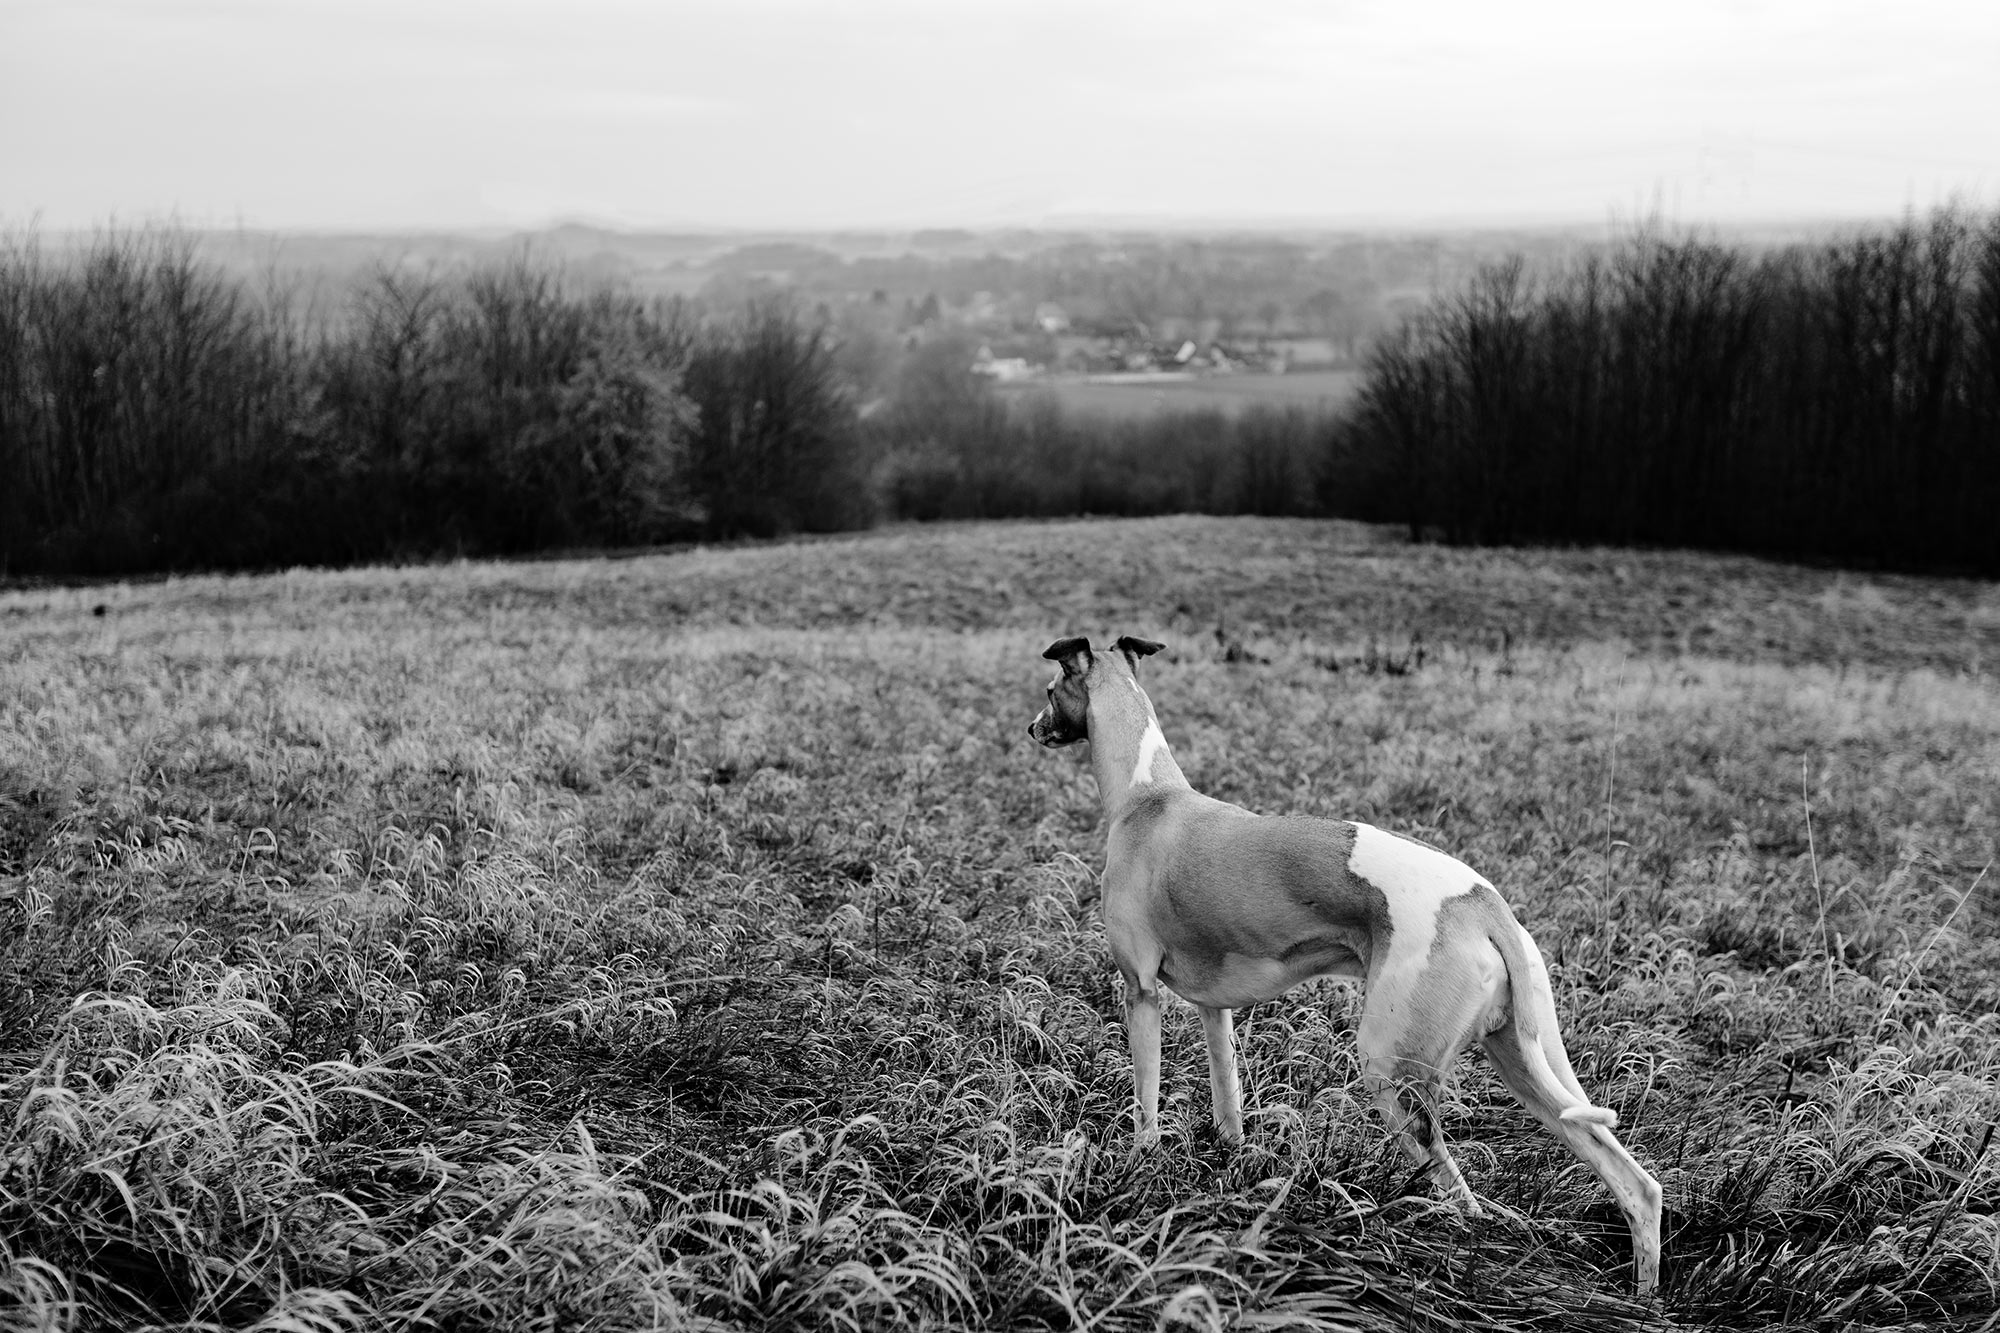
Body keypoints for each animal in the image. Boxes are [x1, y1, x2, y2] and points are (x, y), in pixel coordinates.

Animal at [1028, 634, 1662, 1294]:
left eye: (1049, 689)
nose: (1031, 727)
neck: (1148, 795)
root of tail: (1485, 905)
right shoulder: (1214, 1009)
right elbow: (1228, 1101)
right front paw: (1232, 1169)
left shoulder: (1141, 993)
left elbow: (1146, 1106)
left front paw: (1138, 1172)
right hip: (1533, 1065)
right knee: (1635, 1185)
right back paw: (1644, 1297)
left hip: (1392, 1072)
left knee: (1463, 1200)